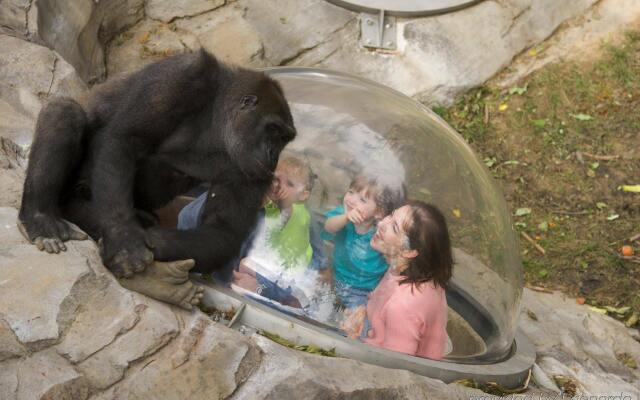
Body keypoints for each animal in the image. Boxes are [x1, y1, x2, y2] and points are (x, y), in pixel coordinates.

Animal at [18, 50, 298, 282]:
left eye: (285, 139)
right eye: (273, 131)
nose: (273, 155)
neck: (217, 118)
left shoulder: (252, 169)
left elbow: (222, 230)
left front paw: (155, 242)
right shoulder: (182, 75)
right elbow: (124, 138)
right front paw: (124, 239)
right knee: (65, 113)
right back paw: (41, 218)